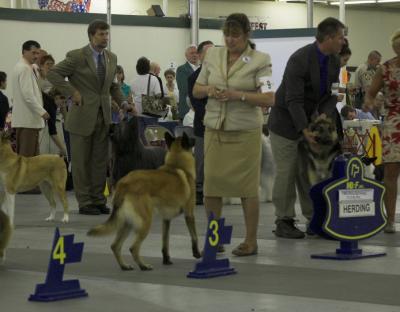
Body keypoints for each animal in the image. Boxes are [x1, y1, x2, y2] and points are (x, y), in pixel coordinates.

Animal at [87, 132, 200, 270]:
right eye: (189, 138)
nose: (195, 138)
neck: (176, 165)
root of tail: (124, 183)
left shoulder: (166, 220)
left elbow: (165, 242)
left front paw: (166, 259)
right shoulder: (189, 213)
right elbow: (194, 236)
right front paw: (197, 253)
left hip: (127, 223)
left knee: (115, 246)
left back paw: (125, 266)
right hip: (145, 222)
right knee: (133, 248)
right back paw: (143, 266)